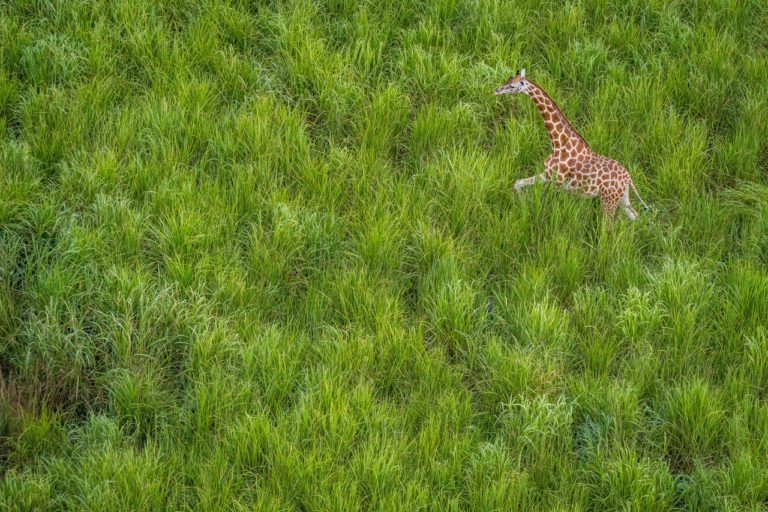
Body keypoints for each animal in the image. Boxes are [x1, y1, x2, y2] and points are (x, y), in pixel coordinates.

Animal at [495, 69, 648, 226]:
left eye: (513, 86)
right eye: (508, 79)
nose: (497, 90)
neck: (557, 143)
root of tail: (628, 177)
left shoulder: (557, 182)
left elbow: (546, 207)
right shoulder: (547, 175)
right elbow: (517, 183)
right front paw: (522, 204)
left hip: (608, 198)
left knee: (609, 225)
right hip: (622, 197)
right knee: (634, 215)